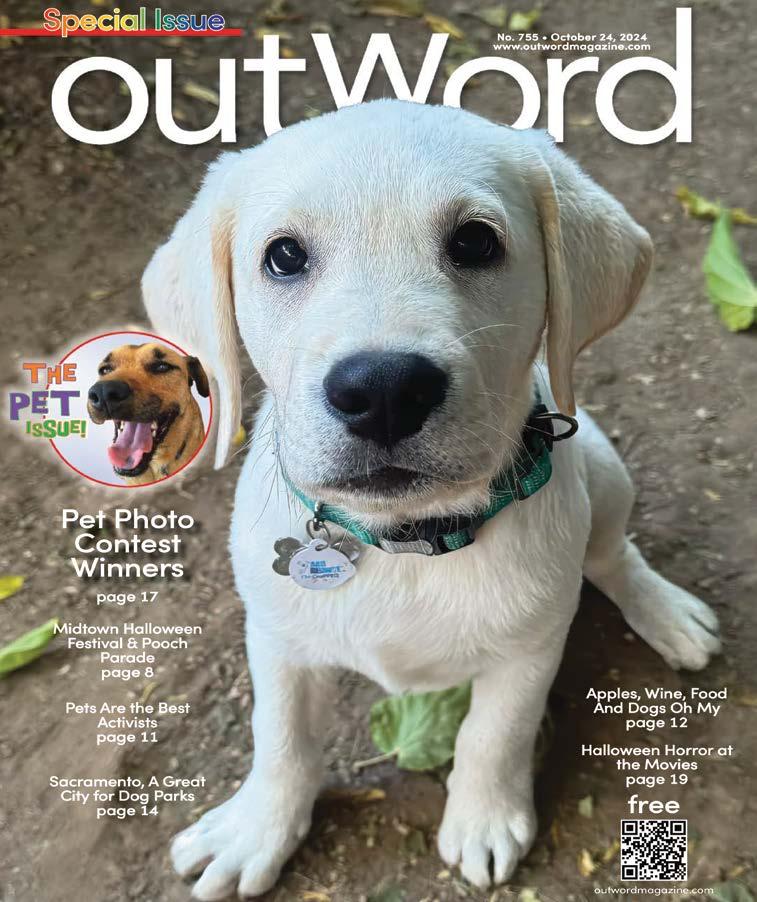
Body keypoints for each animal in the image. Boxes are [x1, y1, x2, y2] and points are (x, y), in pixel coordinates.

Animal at [142, 100, 721, 900]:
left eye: (475, 242)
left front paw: (482, 819)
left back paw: (666, 613)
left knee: (611, 552)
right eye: (283, 256)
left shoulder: (529, 650)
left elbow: (493, 735)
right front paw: (257, 828)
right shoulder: (277, 638)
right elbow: (281, 736)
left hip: (602, 468)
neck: (409, 538)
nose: (383, 390)